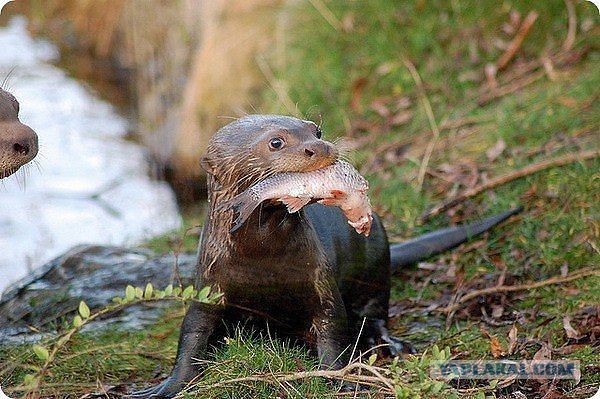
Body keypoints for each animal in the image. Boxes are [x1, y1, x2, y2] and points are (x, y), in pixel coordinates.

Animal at [131, 114, 520, 398]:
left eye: (314, 129)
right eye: (276, 141)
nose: (321, 146)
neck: (261, 264)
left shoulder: (321, 281)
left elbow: (333, 329)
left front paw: (339, 377)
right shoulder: (209, 283)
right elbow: (191, 336)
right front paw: (162, 388)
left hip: (376, 263)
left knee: (375, 311)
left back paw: (388, 342)